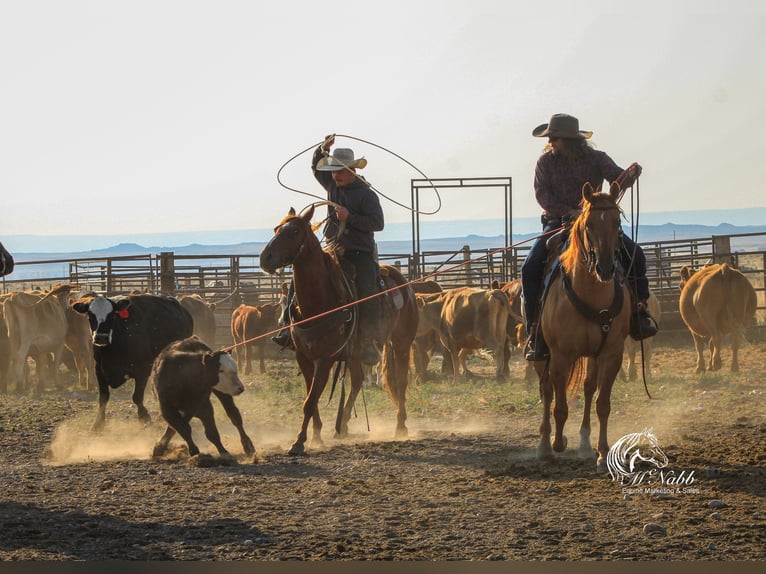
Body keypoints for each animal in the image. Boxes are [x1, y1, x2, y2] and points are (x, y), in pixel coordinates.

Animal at [71, 294, 195, 430]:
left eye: (112, 316)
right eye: (90, 316)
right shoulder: (99, 369)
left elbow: (137, 397)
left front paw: (144, 416)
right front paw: (98, 424)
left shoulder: (142, 370)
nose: (101, 337)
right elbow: (103, 398)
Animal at [260, 205, 420, 456]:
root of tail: (403, 283)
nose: (264, 258)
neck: (319, 301)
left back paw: (400, 426)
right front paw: (316, 435)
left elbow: (310, 400)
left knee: (400, 382)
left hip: (402, 344)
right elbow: (311, 399)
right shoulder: (304, 357)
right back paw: (342, 425)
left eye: (294, 231)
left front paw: (299, 442)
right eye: (276, 228)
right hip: (355, 353)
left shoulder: (325, 359)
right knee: (356, 382)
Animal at [536, 182, 636, 474]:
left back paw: (584, 443)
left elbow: (603, 404)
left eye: (617, 222)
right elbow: (559, 406)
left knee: (590, 388)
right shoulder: (560, 356)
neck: (591, 294)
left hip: (592, 354)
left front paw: (602, 453)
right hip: (540, 354)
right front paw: (558, 443)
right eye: (589, 224)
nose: (605, 267)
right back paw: (545, 445)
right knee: (546, 390)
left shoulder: (611, 354)